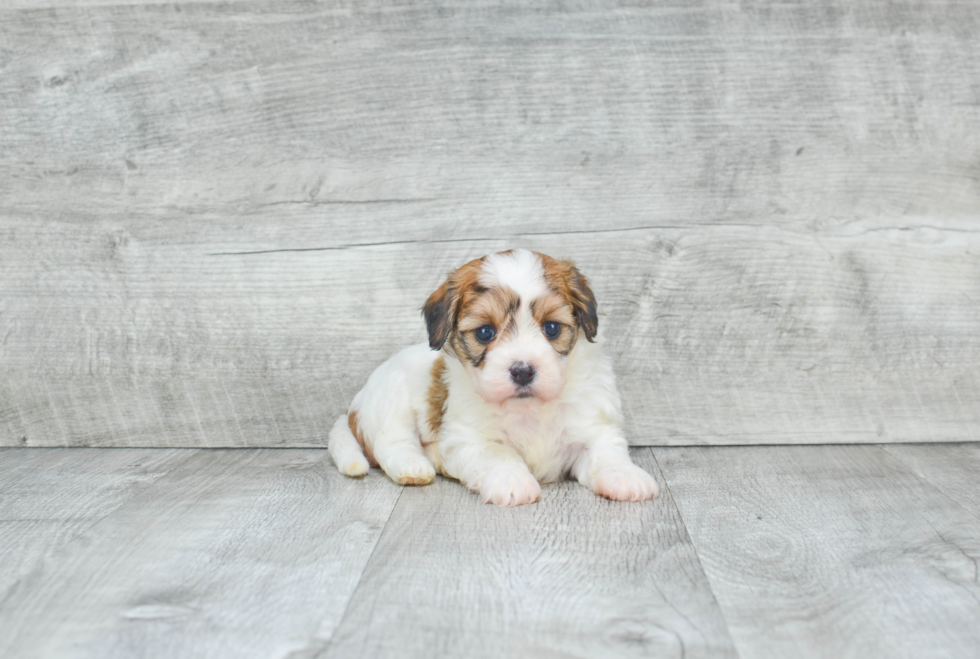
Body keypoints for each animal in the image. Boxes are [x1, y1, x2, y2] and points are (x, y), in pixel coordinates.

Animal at [330, 250, 660, 508]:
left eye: (552, 328)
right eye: (485, 332)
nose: (523, 370)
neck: (529, 408)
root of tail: (353, 408)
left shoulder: (592, 426)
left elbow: (606, 452)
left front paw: (625, 476)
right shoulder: (470, 438)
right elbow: (498, 454)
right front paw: (513, 482)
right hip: (392, 403)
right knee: (394, 443)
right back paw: (415, 467)